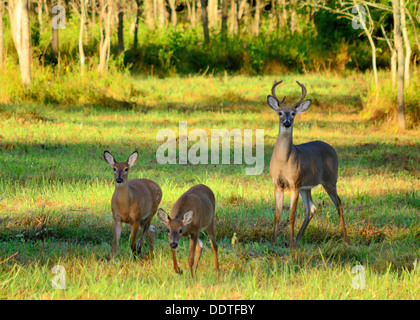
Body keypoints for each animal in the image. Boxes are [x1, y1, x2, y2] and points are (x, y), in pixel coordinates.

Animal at [268, 80, 350, 248]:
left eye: (293, 113)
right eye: (280, 113)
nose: (287, 123)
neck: (283, 161)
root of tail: (332, 148)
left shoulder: (295, 184)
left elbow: (291, 216)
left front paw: (291, 245)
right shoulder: (278, 185)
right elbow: (277, 215)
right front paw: (273, 243)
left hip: (330, 180)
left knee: (338, 204)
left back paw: (346, 240)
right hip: (307, 187)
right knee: (311, 208)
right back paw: (298, 238)